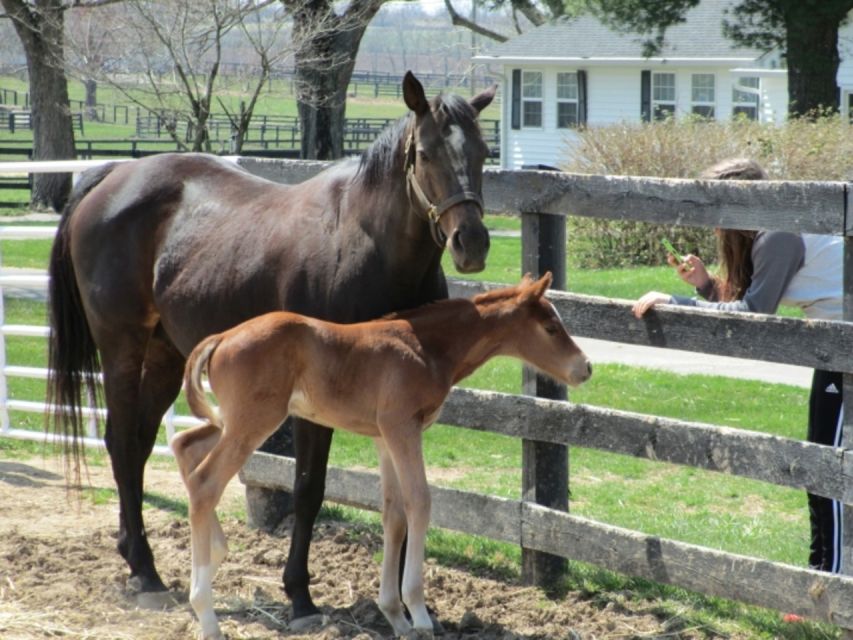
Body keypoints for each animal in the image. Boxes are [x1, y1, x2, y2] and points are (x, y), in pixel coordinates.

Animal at [46, 71, 496, 624]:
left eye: (483, 151)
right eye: (427, 153)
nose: (471, 243)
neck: (367, 244)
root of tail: (111, 176)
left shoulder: (402, 404)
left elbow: (405, 496)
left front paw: (412, 603)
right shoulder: (317, 401)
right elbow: (308, 487)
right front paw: (299, 594)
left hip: (166, 355)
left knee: (139, 443)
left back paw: (136, 558)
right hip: (121, 348)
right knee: (121, 442)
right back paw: (146, 572)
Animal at [170, 272, 588, 636]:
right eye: (551, 327)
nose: (585, 367)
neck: (426, 348)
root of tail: (222, 337)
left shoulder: (383, 437)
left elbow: (394, 514)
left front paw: (395, 616)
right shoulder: (403, 427)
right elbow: (419, 502)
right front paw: (419, 613)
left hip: (233, 419)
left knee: (185, 447)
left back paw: (216, 554)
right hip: (253, 420)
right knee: (206, 481)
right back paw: (206, 613)